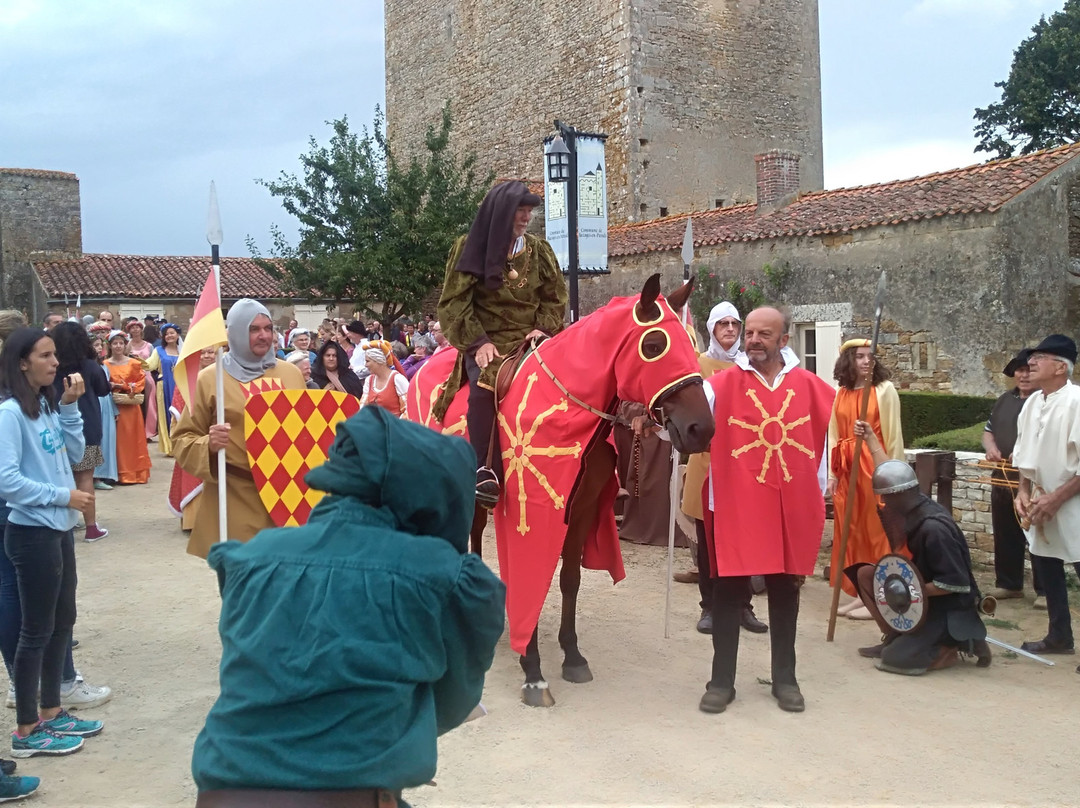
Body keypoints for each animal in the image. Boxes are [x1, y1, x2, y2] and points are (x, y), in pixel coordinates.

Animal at [408, 274, 712, 704]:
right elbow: (531, 577)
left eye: (691, 343)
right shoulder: (532, 514)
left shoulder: (582, 509)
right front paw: (533, 671)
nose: (701, 428)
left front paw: (572, 656)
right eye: (653, 346)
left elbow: (570, 579)